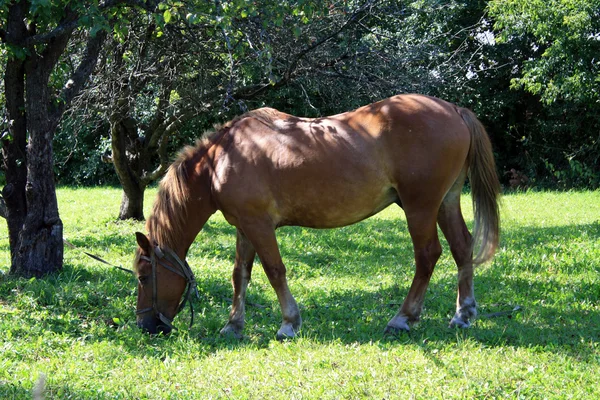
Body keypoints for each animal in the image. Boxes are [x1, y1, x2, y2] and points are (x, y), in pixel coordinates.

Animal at [132, 94, 502, 338]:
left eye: (143, 277)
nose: (146, 326)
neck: (222, 158)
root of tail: (454, 109)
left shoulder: (259, 226)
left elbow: (274, 270)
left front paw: (289, 323)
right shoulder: (245, 227)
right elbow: (240, 274)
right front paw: (233, 325)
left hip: (420, 207)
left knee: (427, 256)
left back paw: (403, 318)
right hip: (445, 202)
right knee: (462, 247)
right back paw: (463, 314)